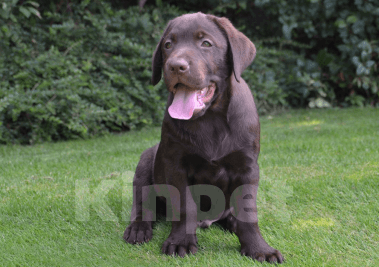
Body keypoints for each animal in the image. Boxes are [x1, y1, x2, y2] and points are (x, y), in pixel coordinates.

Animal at [124, 12, 284, 264]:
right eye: (168, 45)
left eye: (206, 43)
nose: (175, 66)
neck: (210, 118)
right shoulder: (175, 164)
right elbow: (184, 206)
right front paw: (181, 241)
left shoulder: (247, 166)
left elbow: (248, 211)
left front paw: (259, 248)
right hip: (146, 161)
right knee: (142, 203)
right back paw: (138, 229)